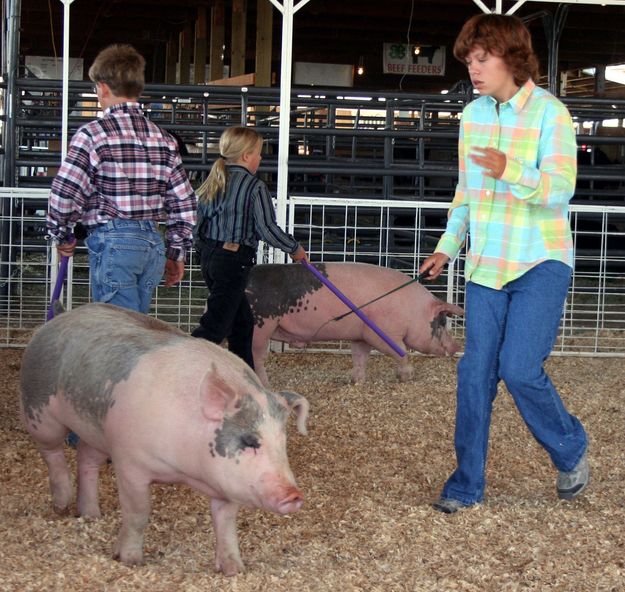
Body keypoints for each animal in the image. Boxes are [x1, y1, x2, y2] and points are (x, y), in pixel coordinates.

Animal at [20, 302, 308, 576]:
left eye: (283, 442)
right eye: (249, 441)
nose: (293, 495)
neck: (184, 470)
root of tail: (61, 315)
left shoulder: (225, 484)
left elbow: (226, 524)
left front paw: (235, 570)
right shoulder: (129, 462)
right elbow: (138, 514)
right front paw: (130, 560)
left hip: (96, 430)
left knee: (87, 459)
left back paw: (91, 515)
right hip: (40, 411)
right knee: (52, 452)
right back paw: (61, 504)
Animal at [245, 262, 464, 384]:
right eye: (441, 322)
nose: (457, 347)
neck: (412, 310)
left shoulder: (362, 336)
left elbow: (360, 357)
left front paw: (356, 382)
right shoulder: (381, 334)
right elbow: (401, 352)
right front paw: (406, 377)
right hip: (261, 327)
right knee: (257, 358)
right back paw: (265, 385)